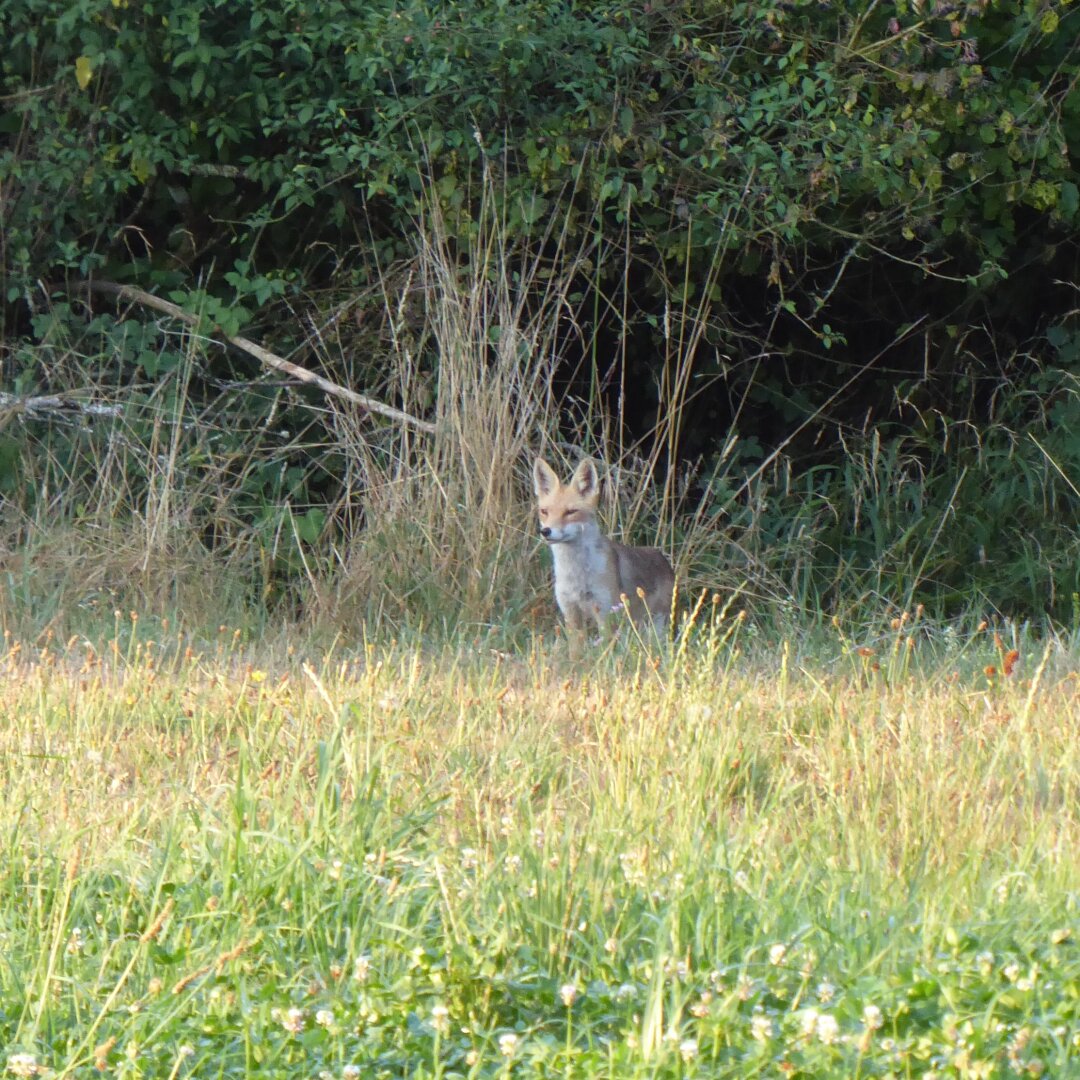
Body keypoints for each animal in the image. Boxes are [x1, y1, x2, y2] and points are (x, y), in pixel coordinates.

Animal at [532, 455, 675, 653]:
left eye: (570, 512)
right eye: (544, 511)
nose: (545, 531)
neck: (577, 574)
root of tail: (661, 556)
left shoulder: (606, 613)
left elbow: (606, 653)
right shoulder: (571, 613)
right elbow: (575, 654)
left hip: (655, 626)